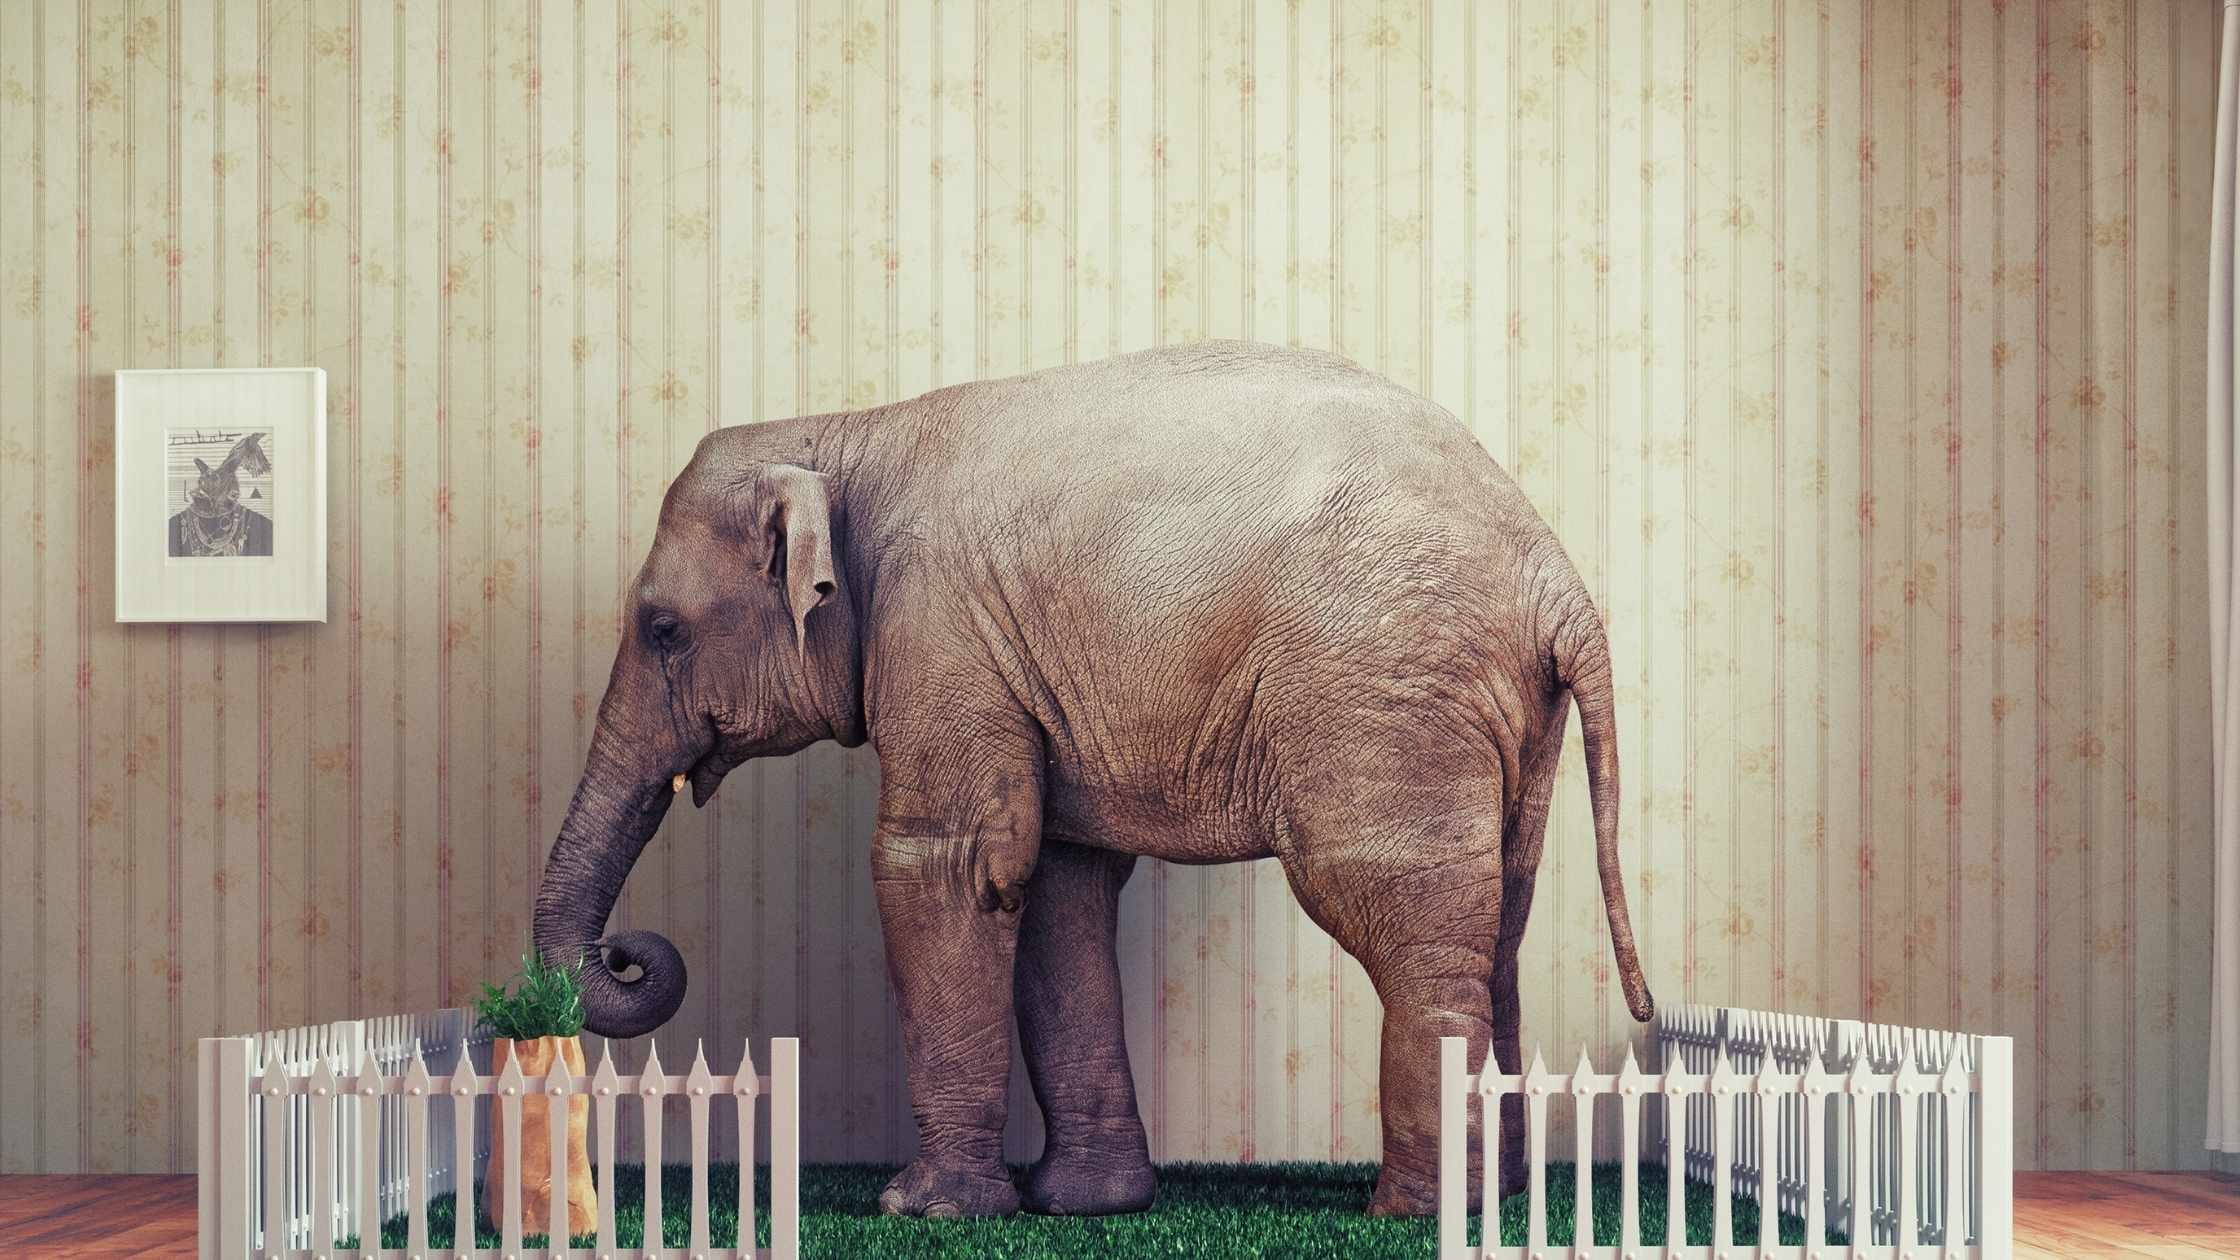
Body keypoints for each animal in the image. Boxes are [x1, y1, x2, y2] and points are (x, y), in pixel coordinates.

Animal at [531, 339, 1653, 1219]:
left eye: (662, 630)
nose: (629, 952)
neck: (846, 433)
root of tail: (1554, 573)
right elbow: (1057, 885)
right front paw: (1082, 1204)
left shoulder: (939, 628)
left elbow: (943, 867)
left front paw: (924, 1208)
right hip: (1504, 718)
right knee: (1497, 925)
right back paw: (1498, 1199)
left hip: (1380, 692)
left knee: (1403, 926)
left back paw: (1414, 1213)